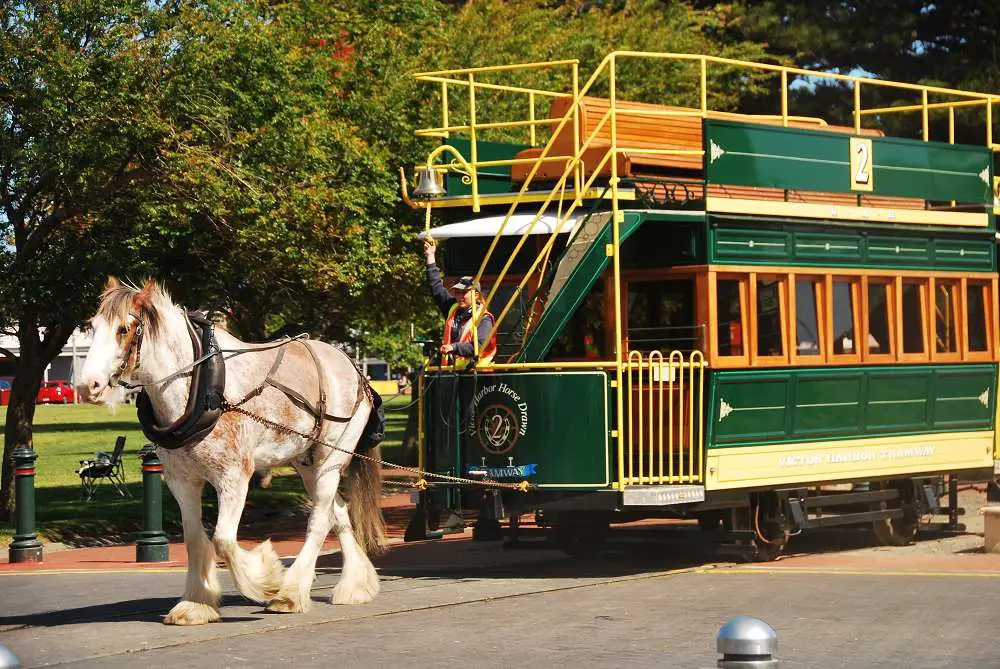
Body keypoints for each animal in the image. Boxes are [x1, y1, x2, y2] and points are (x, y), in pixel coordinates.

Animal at [79, 276, 386, 620]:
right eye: (92, 326)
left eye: (123, 329)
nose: (87, 386)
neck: (201, 386)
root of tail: (354, 369)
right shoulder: (181, 480)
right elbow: (195, 539)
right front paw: (196, 604)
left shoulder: (234, 477)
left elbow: (223, 540)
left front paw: (267, 579)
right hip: (307, 462)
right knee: (338, 511)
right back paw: (355, 585)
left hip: (332, 457)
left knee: (320, 519)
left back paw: (290, 593)